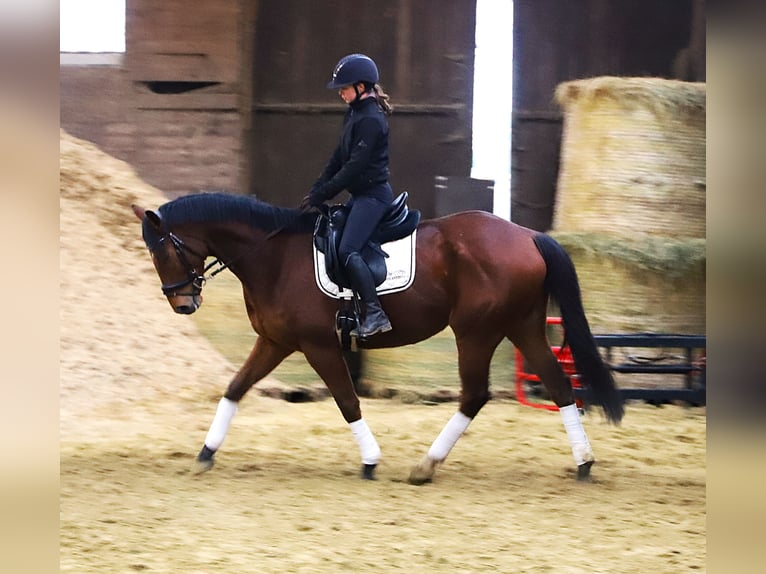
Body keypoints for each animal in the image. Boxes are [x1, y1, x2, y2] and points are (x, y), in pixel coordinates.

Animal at [131, 191, 623, 483]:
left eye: (161, 252)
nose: (183, 304)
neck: (273, 257)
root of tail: (528, 235)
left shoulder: (318, 346)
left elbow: (347, 401)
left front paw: (370, 460)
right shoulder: (276, 342)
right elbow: (234, 389)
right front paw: (206, 452)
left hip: (477, 331)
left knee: (475, 395)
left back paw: (426, 466)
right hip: (520, 326)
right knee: (559, 386)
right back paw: (583, 463)